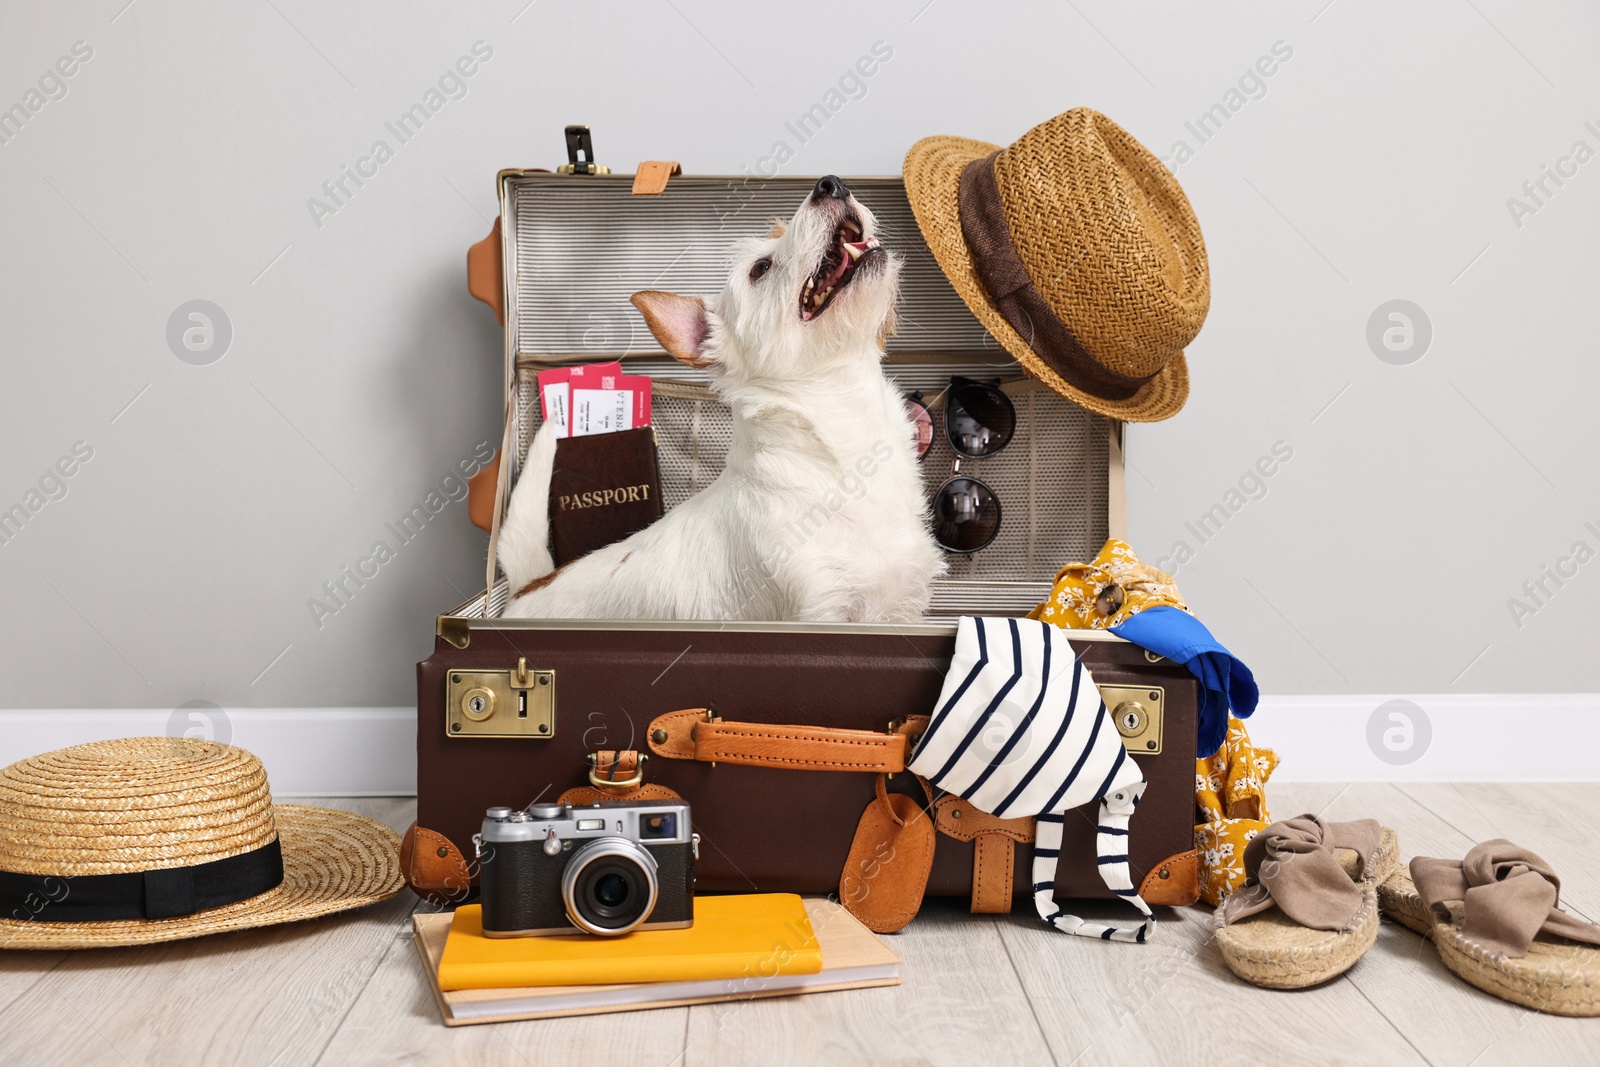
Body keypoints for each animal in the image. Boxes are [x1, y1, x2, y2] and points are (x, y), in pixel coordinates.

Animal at [499, 175, 940, 627]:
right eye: (760, 268)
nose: (829, 183)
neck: (845, 434)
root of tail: (526, 588)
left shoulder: (902, 611)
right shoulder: (822, 614)